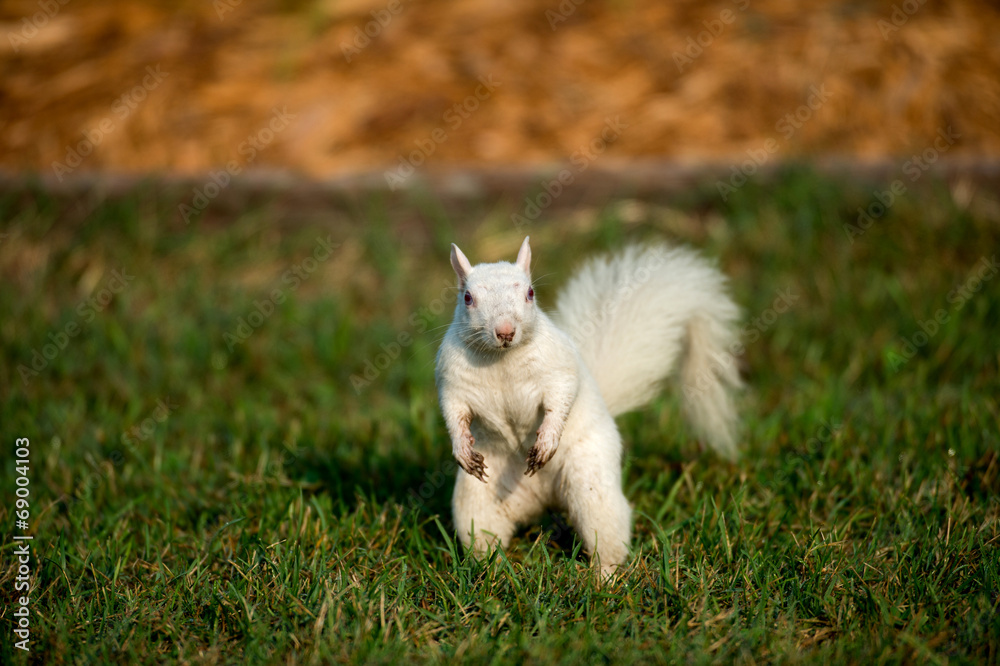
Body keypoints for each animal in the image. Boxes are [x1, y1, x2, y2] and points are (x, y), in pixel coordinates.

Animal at [435, 236, 741, 576]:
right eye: (467, 298)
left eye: (530, 293)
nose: (505, 331)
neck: (501, 359)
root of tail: (543, 500)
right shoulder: (453, 384)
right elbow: (454, 414)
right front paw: (462, 449)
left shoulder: (560, 372)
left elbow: (560, 402)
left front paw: (546, 442)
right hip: (477, 505)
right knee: (484, 538)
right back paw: (491, 571)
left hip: (592, 488)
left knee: (605, 535)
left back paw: (603, 577)